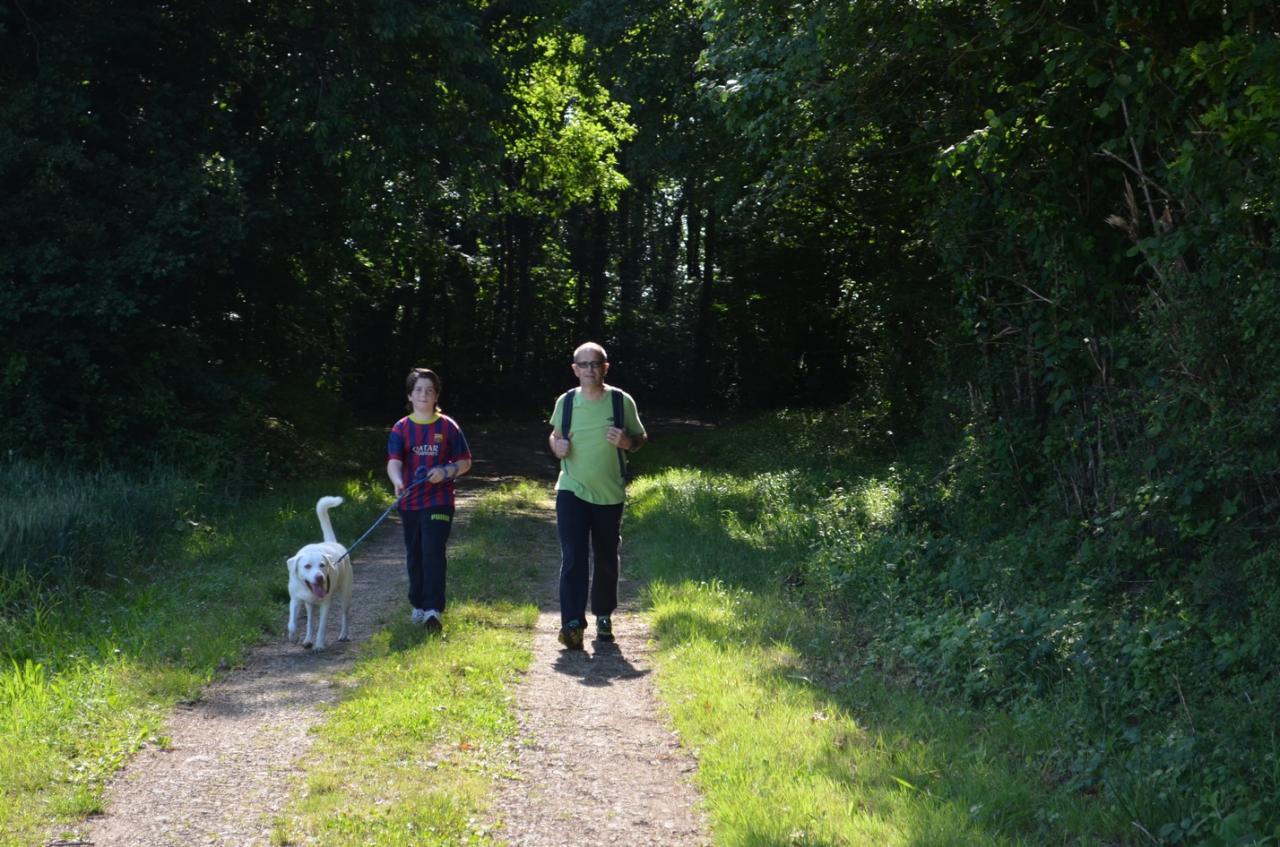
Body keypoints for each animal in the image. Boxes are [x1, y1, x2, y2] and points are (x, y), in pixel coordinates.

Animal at [288, 498, 353, 649]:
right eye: (307, 566)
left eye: (322, 565)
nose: (319, 578)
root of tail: (332, 542)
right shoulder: (295, 600)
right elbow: (292, 623)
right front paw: (293, 637)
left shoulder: (326, 604)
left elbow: (322, 627)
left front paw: (319, 645)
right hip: (309, 606)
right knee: (310, 621)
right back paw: (307, 639)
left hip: (345, 594)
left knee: (345, 615)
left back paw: (343, 634)